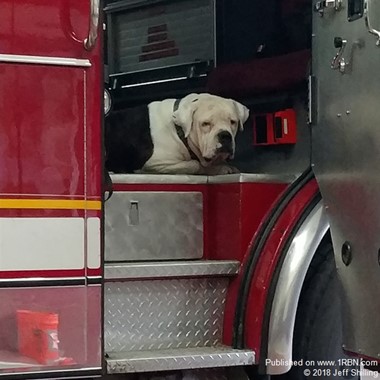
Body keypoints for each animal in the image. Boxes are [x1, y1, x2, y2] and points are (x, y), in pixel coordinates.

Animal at [104, 93, 249, 176]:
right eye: (205, 123)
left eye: (233, 122)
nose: (225, 135)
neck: (178, 130)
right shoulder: (155, 163)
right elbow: (195, 165)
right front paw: (218, 169)